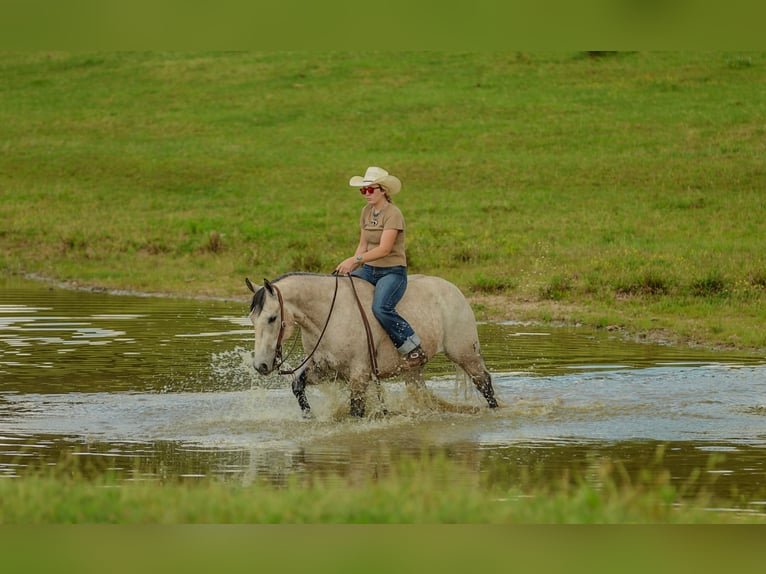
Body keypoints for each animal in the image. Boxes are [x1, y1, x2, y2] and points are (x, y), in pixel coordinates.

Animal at [246, 272, 498, 418]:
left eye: (272, 318)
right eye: (252, 319)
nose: (261, 365)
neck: (328, 313)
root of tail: (452, 289)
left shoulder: (359, 373)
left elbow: (356, 410)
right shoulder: (326, 369)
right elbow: (298, 386)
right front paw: (309, 416)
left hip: (465, 353)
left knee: (484, 383)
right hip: (413, 368)